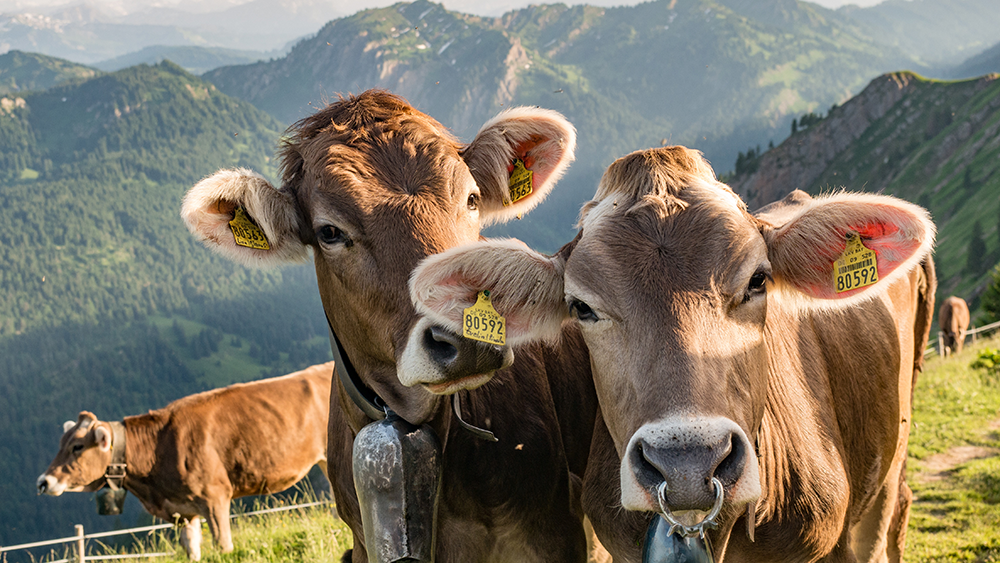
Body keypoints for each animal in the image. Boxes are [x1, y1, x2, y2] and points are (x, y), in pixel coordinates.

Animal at [38, 364, 332, 560]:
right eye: (61, 443)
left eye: (77, 446)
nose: (43, 481)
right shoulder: (182, 512)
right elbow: (192, 549)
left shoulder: (214, 496)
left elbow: (223, 546)